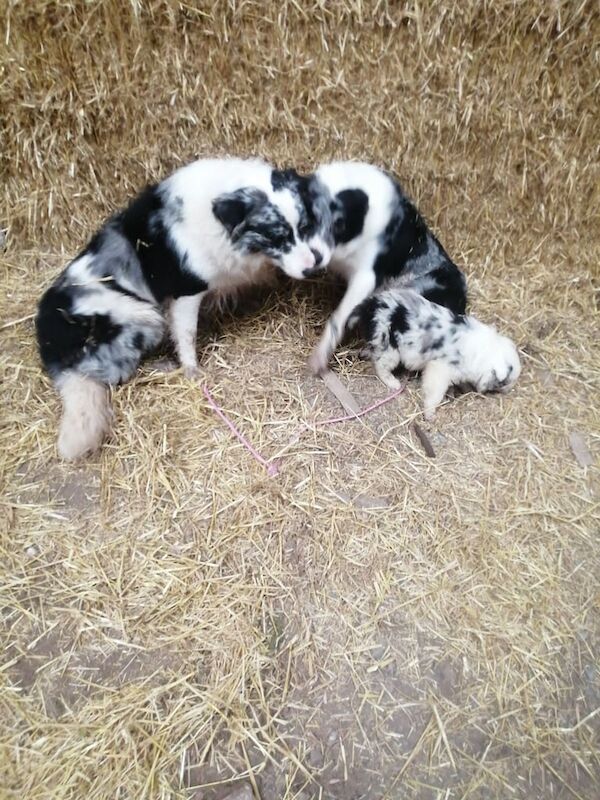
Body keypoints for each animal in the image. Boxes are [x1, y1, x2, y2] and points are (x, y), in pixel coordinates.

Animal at [36, 156, 332, 460]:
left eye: (305, 226)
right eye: (276, 237)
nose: (312, 268)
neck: (218, 217)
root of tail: (51, 349)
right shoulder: (187, 293)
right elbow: (186, 336)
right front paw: (193, 372)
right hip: (142, 316)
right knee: (118, 373)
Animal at [352, 290, 520, 422]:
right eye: (504, 382)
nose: (508, 390)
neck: (485, 354)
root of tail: (370, 305)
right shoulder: (439, 370)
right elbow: (434, 395)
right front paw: (430, 415)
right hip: (389, 349)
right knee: (380, 366)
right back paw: (394, 383)